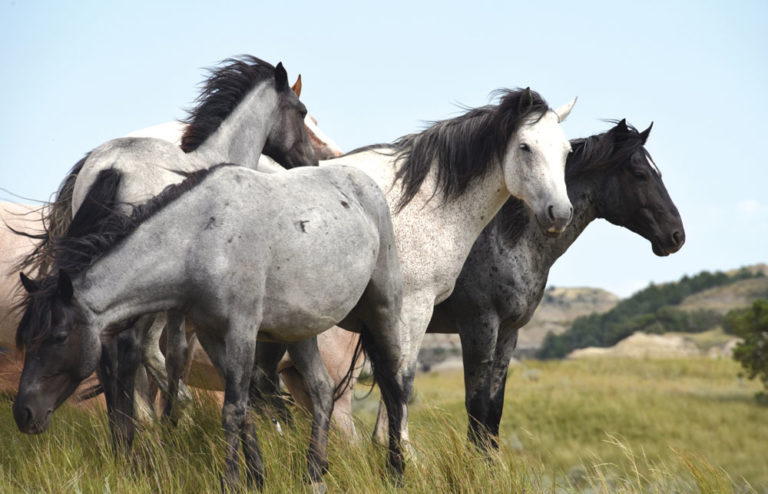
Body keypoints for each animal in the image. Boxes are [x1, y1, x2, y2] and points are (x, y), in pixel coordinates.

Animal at [13, 163, 406, 491]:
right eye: (28, 339)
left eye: (59, 337)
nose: (24, 413)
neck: (199, 239)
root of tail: (366, 185)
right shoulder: (212, 335)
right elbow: (245, 410)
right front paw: (256, 478)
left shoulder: (241, 331)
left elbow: (232, 410)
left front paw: (231, 481)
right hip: (301, 331)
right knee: (323, 391)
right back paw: (314, 472)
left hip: (382, 311)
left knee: (393, 386)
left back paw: (396, 470)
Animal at [323, 87, 576, 444]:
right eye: (525, 147)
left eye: (567, 152)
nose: (560, 214)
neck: (410, 204)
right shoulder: (414, 309)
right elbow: (401, 386)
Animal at [425, 119, 685, 450]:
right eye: (640, 174)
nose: (676, 235)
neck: (504, 239)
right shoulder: (478, 328)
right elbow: (477, 411)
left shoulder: (508, 333)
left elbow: (493, 413)